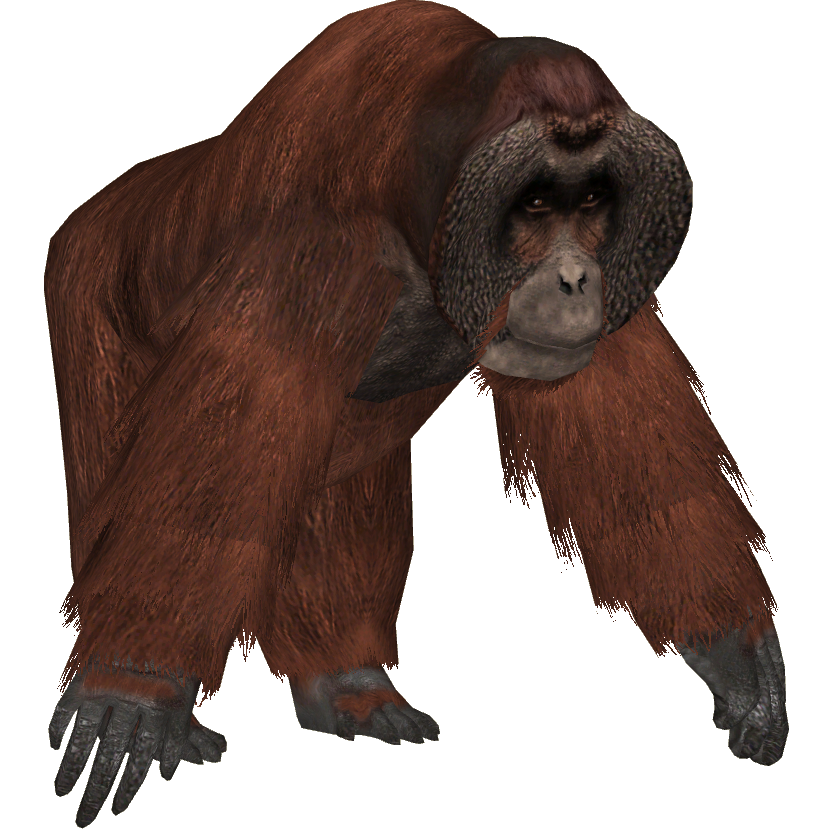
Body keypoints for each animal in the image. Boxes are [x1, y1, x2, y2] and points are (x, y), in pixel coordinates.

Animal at [43, 1, 786, 827]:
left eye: (593, 200)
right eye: (536, 202)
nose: (574, 278)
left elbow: (644, 481)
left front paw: (735, 653)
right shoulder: (309, 259)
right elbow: (206, 490)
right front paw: (133, 692)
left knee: (337, 495)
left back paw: (350, 688)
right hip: (84, 279)